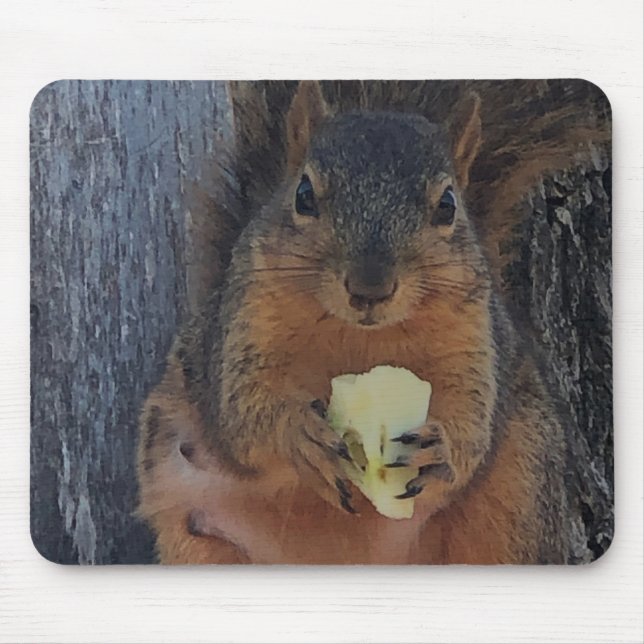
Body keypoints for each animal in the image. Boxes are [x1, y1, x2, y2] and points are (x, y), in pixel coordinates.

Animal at [137, 80, 607, 564]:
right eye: (303, 195)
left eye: (447, 206)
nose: (370, 288)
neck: (360, 338)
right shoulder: (241, 331)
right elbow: (243, 413)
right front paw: (299, 433)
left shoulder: (475, 343)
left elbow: (472, 421)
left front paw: (442, 448)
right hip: (198, 538)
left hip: (519, 497)